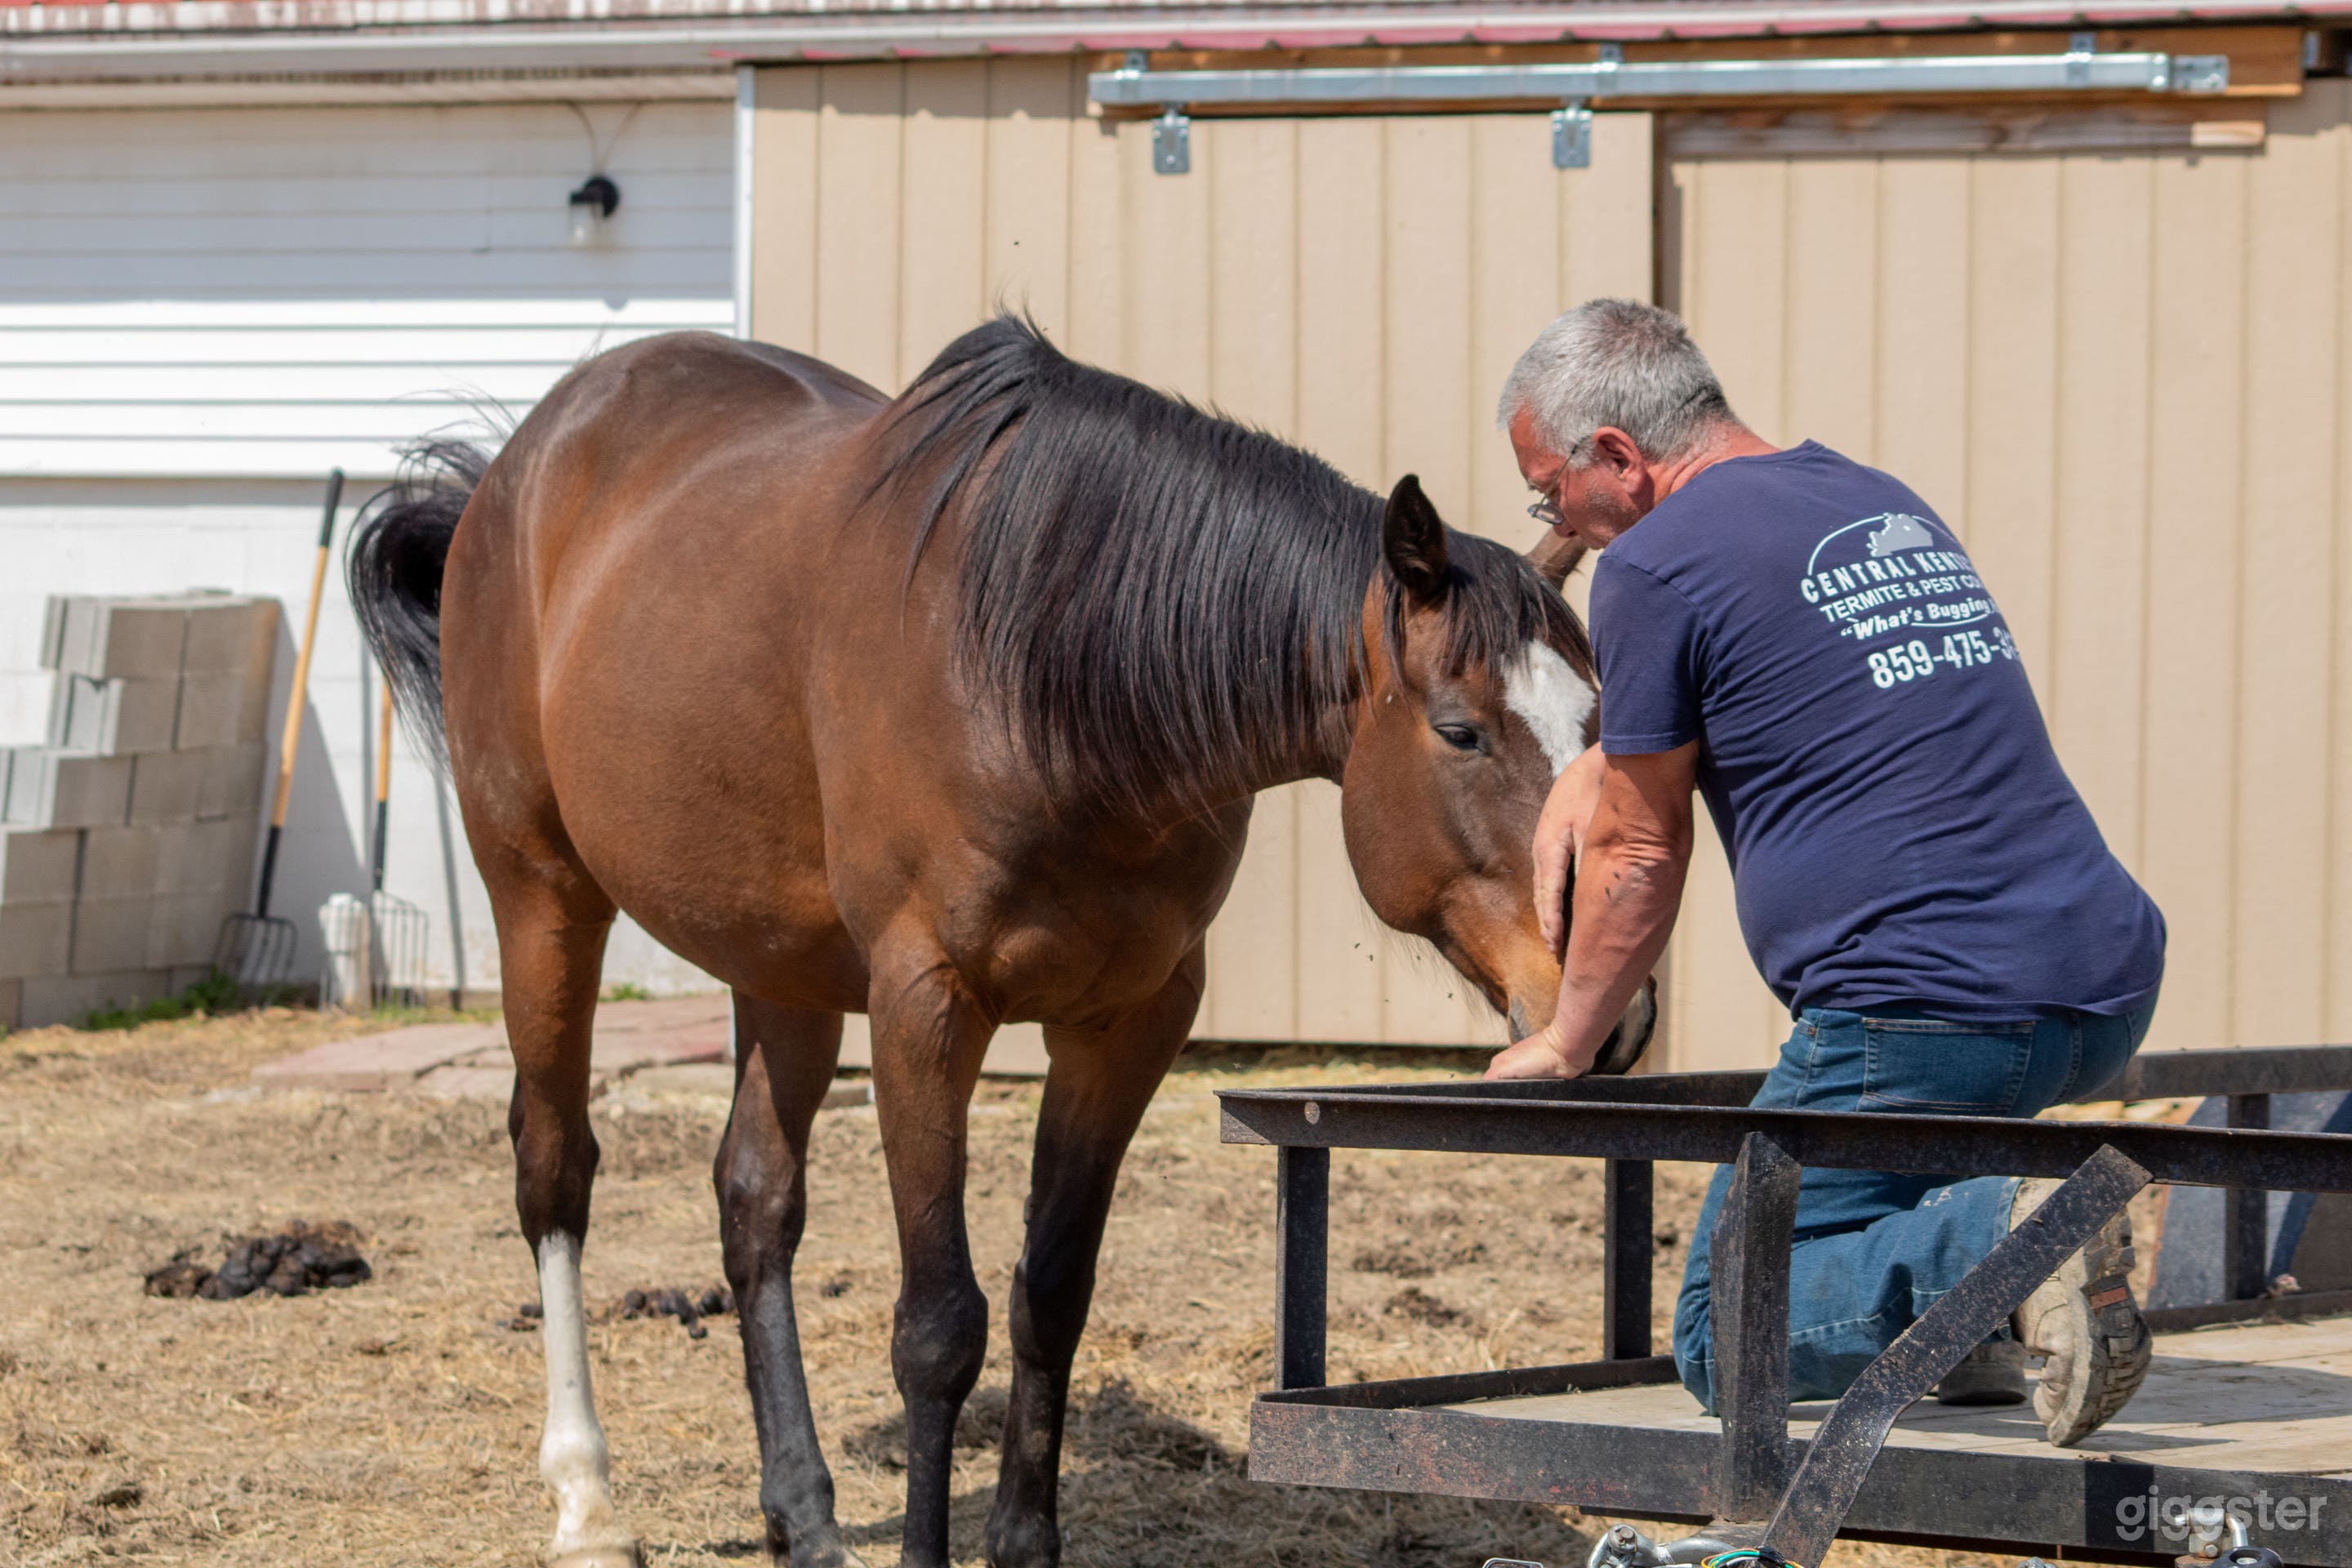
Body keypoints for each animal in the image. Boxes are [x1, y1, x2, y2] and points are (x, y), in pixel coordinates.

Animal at [347, 314, 1654, 1568]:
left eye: (1598, 722)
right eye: (1462, 731)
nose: (1613, 1011)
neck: (1055, 677)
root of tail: (524, 459)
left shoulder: (1129, 1022)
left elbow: (1052, 1295)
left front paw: (1026, 1542)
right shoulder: (926, 1006)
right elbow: (941, 1327)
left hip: (781, 964)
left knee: (755, 1201)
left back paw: (804, 1516)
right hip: (543, 895)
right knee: (554, 1171)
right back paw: (588, 1504)